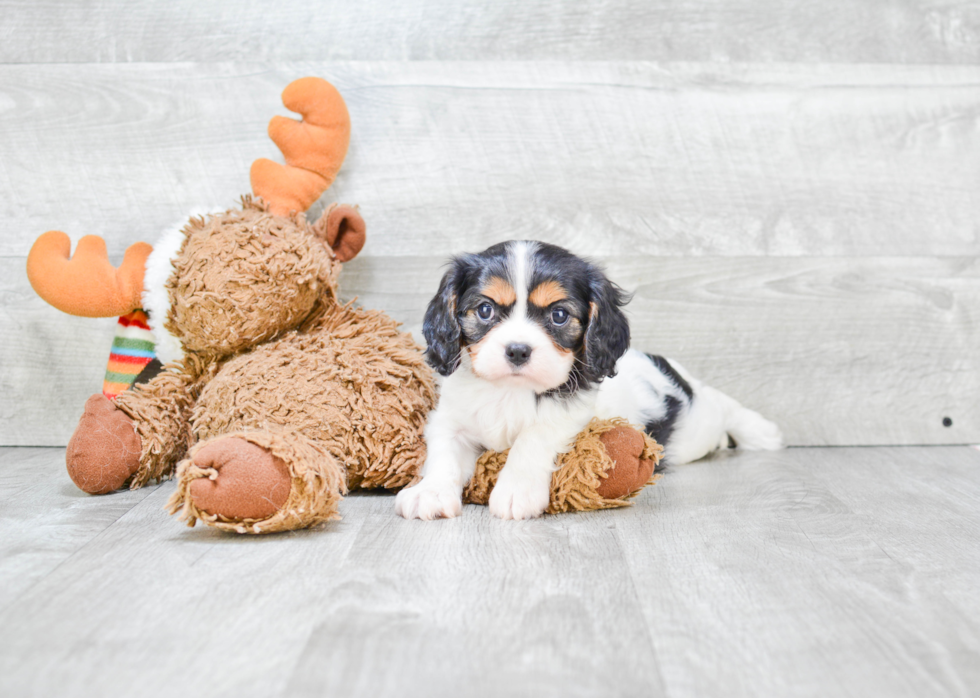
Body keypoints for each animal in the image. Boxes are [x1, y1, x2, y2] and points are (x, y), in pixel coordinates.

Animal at [394, 239, 784, 516]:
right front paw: (429, 493)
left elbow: (532, 438)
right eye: (485, 310)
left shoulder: (570, 415)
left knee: (722, 406)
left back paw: (760, 431)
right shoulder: (451, 419)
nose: (518, 350)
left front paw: (516, 491)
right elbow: (444, 453)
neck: (510, 392)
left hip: (697, 425)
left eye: (559, 315)